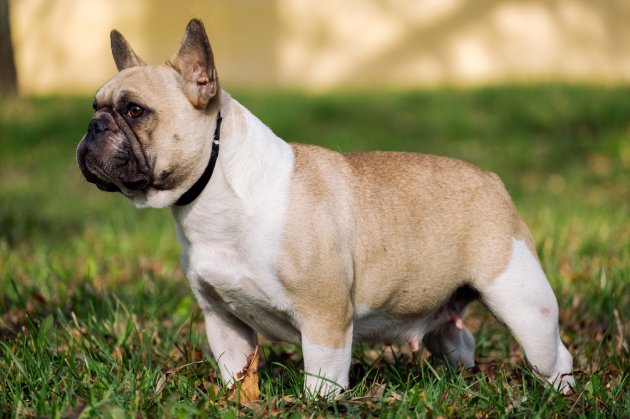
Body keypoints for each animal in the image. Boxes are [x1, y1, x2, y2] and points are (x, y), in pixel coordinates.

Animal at [76, 18, 576, 396]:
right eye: (95, 106)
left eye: (135, 111)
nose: (93, 126)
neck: (219, 191)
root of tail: (492, 180)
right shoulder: (222, 320)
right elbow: (235, 372)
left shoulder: (324, 316)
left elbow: (322, 379)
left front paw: (318, 404)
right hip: (442, 311)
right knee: (459, 338)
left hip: (523, 302)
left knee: (553, 353)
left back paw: (560, 393)